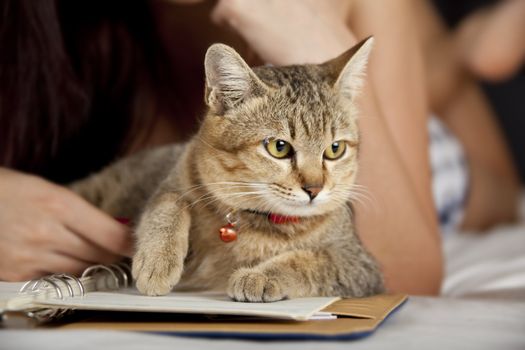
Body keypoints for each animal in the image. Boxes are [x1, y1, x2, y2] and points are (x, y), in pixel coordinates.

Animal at [71, 37, 382, 300]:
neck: (260, 222)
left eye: (335, 149)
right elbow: (168, 204)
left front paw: (259, 276)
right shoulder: (176, 176)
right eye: (279, 147)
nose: (314, 189)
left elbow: (311, 261)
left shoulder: (359, 265)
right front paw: (158, 260)